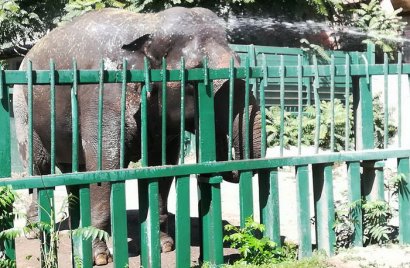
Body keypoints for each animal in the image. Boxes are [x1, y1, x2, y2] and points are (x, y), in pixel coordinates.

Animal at [14, 6, 262, 266]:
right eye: (195, 74)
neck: (148, 25)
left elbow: (162, 167)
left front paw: (164, 246)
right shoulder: (103, 93)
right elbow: (104, 165)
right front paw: (100, 257)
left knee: (73, 172)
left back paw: (74, 226)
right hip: (22, 107)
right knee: (39, 167)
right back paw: (35, 230)